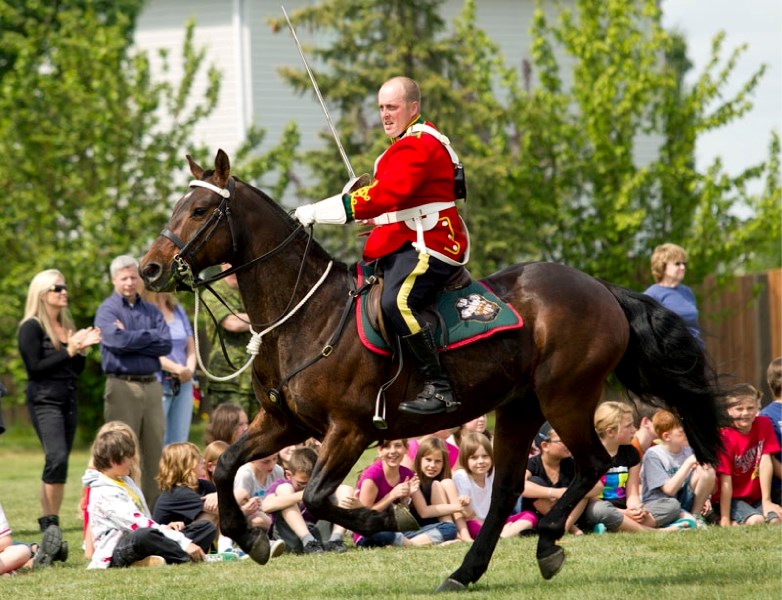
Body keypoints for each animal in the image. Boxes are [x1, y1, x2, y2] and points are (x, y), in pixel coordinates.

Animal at [139, 150, 724, 592]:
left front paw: (379, 519)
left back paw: (546, 541)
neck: (306, 312)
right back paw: (468, 571)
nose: (149, 269)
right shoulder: (285, 424)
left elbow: (315, 496)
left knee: (599, 460)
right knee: (511, 489)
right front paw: (253, 537)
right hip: (520, 408)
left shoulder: (348, 430)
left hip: (565, 397)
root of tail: (600, 288)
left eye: (198, 210)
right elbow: (225, 466)